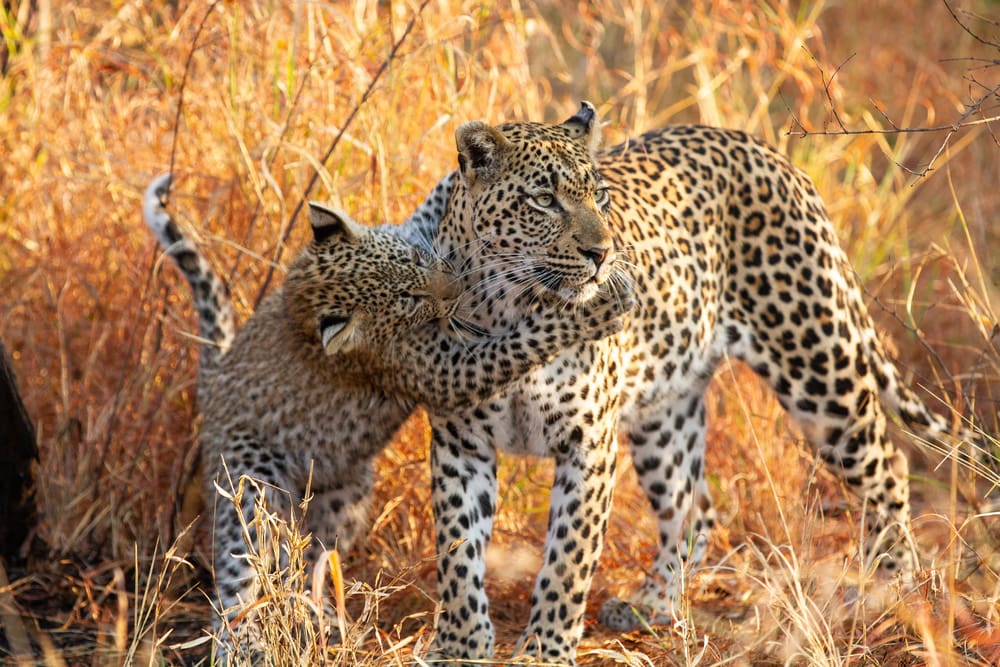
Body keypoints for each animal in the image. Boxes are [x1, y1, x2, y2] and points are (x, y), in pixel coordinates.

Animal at [141, 172, 634, 656]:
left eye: (417, 258)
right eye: (409, 299)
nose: (457, 289)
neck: (304, 293)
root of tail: (212, 383)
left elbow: (437, 198)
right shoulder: (438, 369)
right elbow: (520, 341)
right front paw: (601, 308)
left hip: (345, 498)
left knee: (303, 563)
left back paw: (323, 622)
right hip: (249, 487)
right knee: (239, 574)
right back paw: (244, 644)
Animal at [401, 102, 982, 665]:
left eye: (600, 196)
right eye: (544, 200)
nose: (602, 254)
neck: (513, 307)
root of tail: (769, 152)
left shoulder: (588, 443)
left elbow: (569, 557)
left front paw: (544, 650)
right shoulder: (460, 440)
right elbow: (458, 548)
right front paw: (459, 645)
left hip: (818, 367)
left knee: (889, 467)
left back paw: (892, 589)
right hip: (665, 413)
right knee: (694, 509)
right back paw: (652, 604)